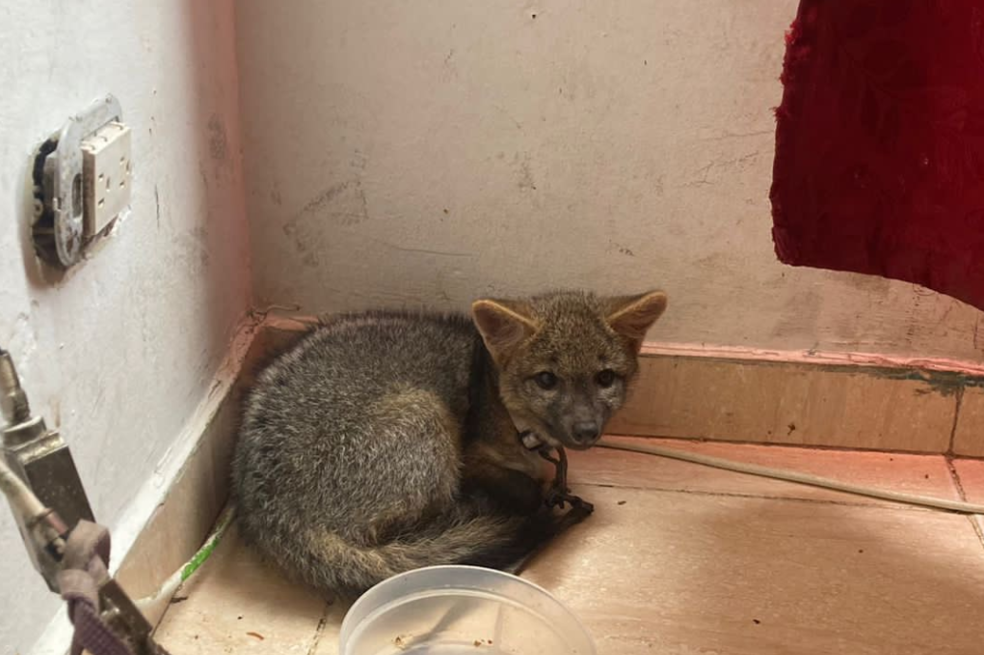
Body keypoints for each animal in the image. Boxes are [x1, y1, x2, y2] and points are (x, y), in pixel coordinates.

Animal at [232, 289, 667, 597]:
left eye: (604, 378)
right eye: (547, 380)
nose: (586, 430)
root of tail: (273, 510)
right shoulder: (470, 458)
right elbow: (525, 485)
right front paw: (535, 493)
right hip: (427, 414)